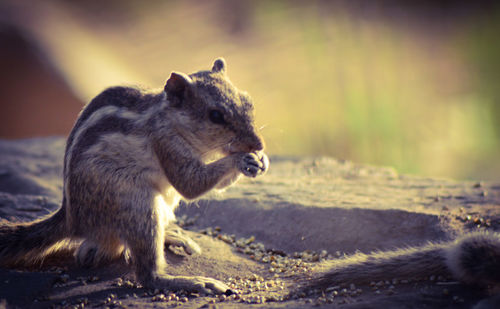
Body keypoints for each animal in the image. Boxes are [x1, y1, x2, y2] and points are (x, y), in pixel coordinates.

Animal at [0, 57, 270, 294]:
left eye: (248, 101)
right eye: (215, 115)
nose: (258, 143)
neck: (170, 118)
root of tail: (72, 218)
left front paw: (261, 159)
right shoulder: (166, 143)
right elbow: (190, 183)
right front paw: (241, 160)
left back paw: (172, 236)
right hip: (137, 206)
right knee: (146, 276)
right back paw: (192, 282)